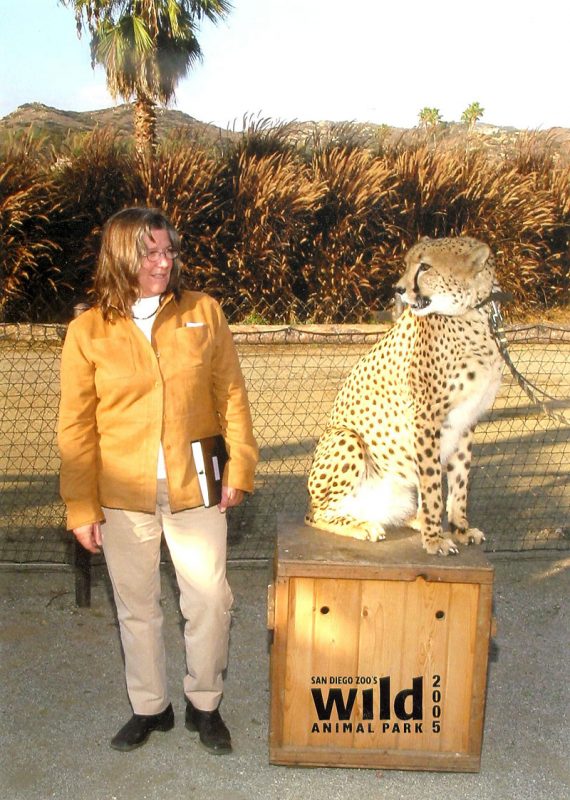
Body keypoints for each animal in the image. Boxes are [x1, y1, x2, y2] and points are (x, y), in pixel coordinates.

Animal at [305, 235, 504, 555]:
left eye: (424, 267)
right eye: (409, 264)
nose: (398, 289)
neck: (474, 313)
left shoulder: (466, 420)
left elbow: (459, 481)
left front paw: (459, 529)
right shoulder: (425, 418)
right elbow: (433, 485)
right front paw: (435, 538)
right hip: (346, 437)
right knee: (318, 514)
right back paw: (363, 525)